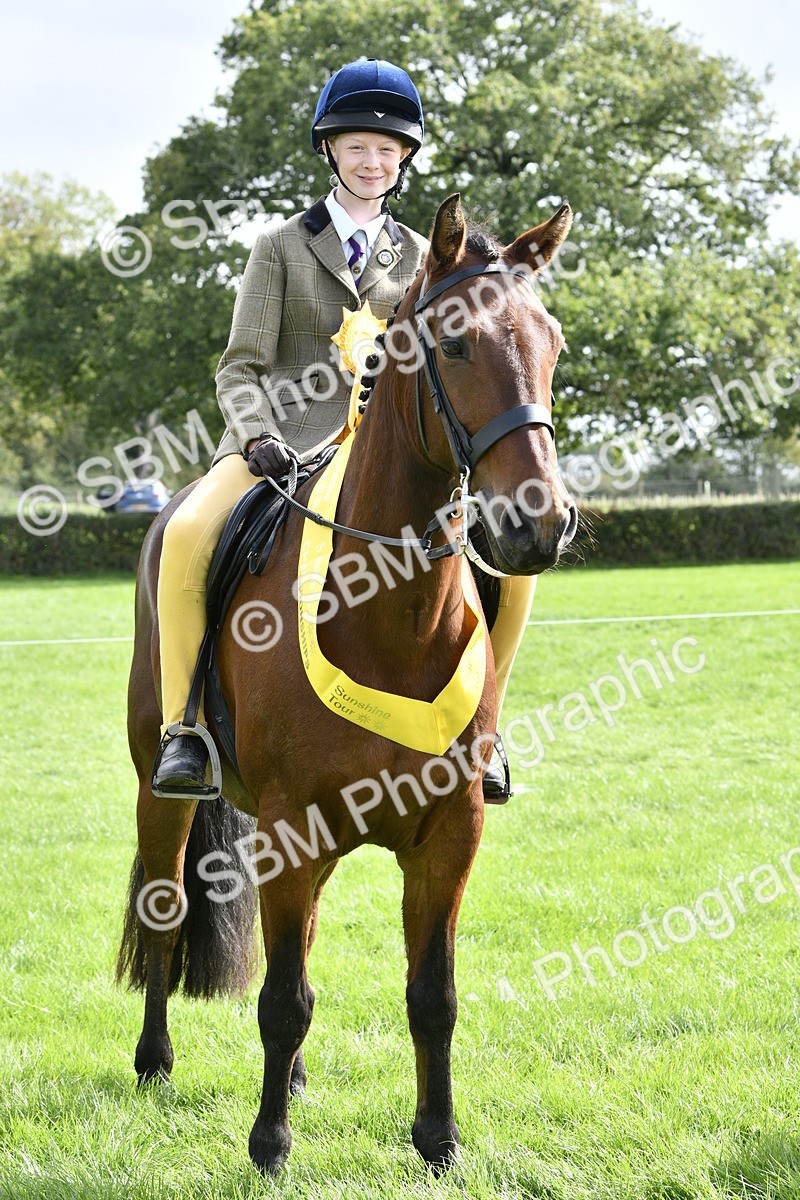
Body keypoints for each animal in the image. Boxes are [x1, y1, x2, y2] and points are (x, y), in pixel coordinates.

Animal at [117, 192, 577, 1174]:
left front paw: (438, 1141)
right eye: (453, 344)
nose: (537, 524)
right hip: (161, 791)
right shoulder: (290, 828)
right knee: (168, 910)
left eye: (552, 342)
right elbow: (283, 999)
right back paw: (154, 1061)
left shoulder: (450, 833)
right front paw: (268, 1148)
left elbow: (431, 996)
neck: (386, 616)